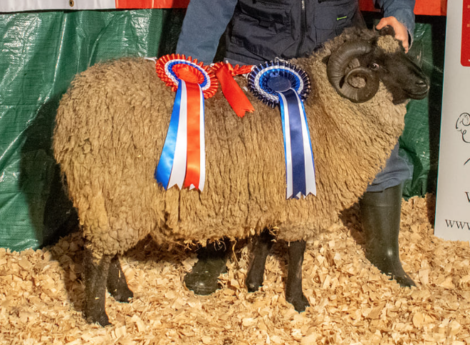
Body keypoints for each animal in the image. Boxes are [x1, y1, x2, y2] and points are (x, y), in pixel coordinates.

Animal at [52, 27, 430, 326]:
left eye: (403, 53)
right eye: (376, 65)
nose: (425, 82)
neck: (327, 107)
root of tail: (70, 105)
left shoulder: (272, 192)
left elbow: (264, 240)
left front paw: (254, 283)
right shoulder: (304, 200)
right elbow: (297, 251)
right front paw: (298, 299)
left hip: (111, 198)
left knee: (109, 251)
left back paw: (121, 293)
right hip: (115, 190)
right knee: (97, 255)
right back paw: (98, 315)